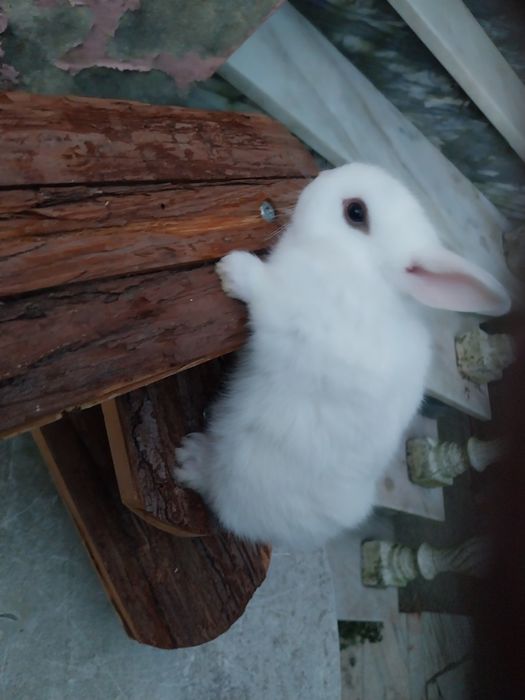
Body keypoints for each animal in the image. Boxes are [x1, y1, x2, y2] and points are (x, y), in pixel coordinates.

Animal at [175, 163, 510, 551]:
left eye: (355, 212)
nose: (320, 177)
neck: (357, 267)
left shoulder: (293, 311)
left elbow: (264, 290)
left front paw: (233, 269)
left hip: (240, 472)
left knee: (218, 492)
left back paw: (188, 460)